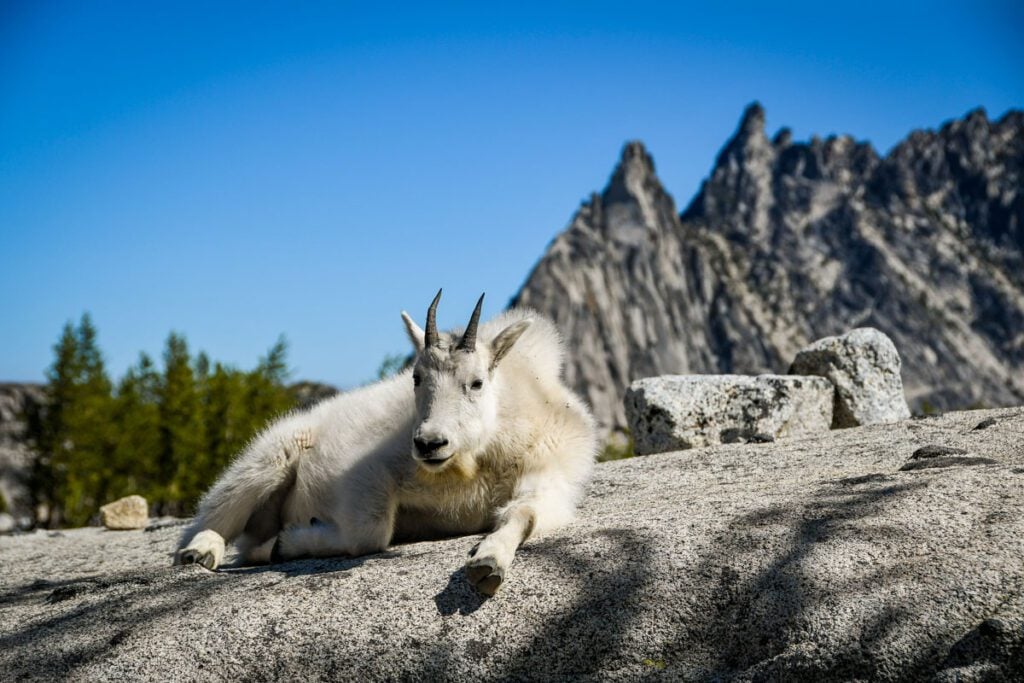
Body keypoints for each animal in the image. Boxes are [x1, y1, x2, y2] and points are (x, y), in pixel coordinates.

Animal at [172, 290, 598, 593]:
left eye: (476, 382)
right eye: (416, 377)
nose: (429, 444)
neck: (478, 457)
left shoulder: (549, 475)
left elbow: (524, 513)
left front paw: (488, 563)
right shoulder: (371, 472)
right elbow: (369, 533)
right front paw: (284, 543)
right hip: (269, 459)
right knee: (214, 519)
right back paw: (201, 552)